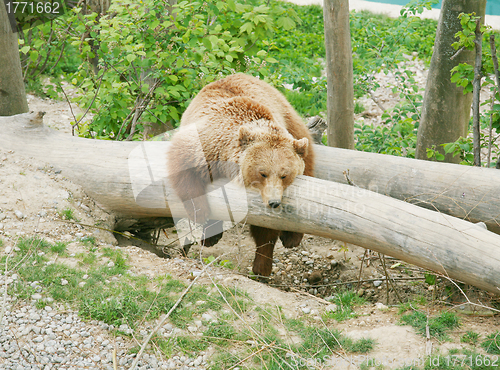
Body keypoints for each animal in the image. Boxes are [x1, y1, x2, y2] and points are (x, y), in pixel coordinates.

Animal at [169, 73, 316, 274]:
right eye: (262, 173)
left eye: (284, 175)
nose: (274, 202)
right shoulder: (203, 146)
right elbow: (185, 171)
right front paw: (203, 216)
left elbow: (265, 229)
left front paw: (262, 263)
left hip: (293, 125)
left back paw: (289, 240)